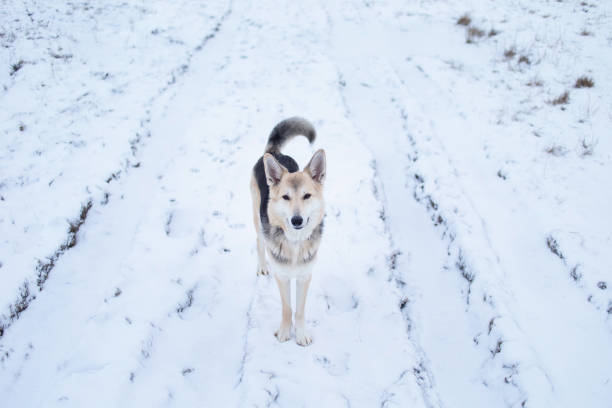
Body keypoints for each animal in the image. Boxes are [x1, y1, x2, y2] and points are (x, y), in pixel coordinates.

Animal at [249, 116, 326, 346]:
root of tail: (274, 153)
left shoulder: (304, 277)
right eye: (285, 197)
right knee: (259, 241)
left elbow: (299, 310)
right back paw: (262, 266)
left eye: (307, 196)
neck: (295, 242)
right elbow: (287, 308)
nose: (297, 220)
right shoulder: (282, 276)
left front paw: (300, 334)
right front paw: (285, 332)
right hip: (257, 217)